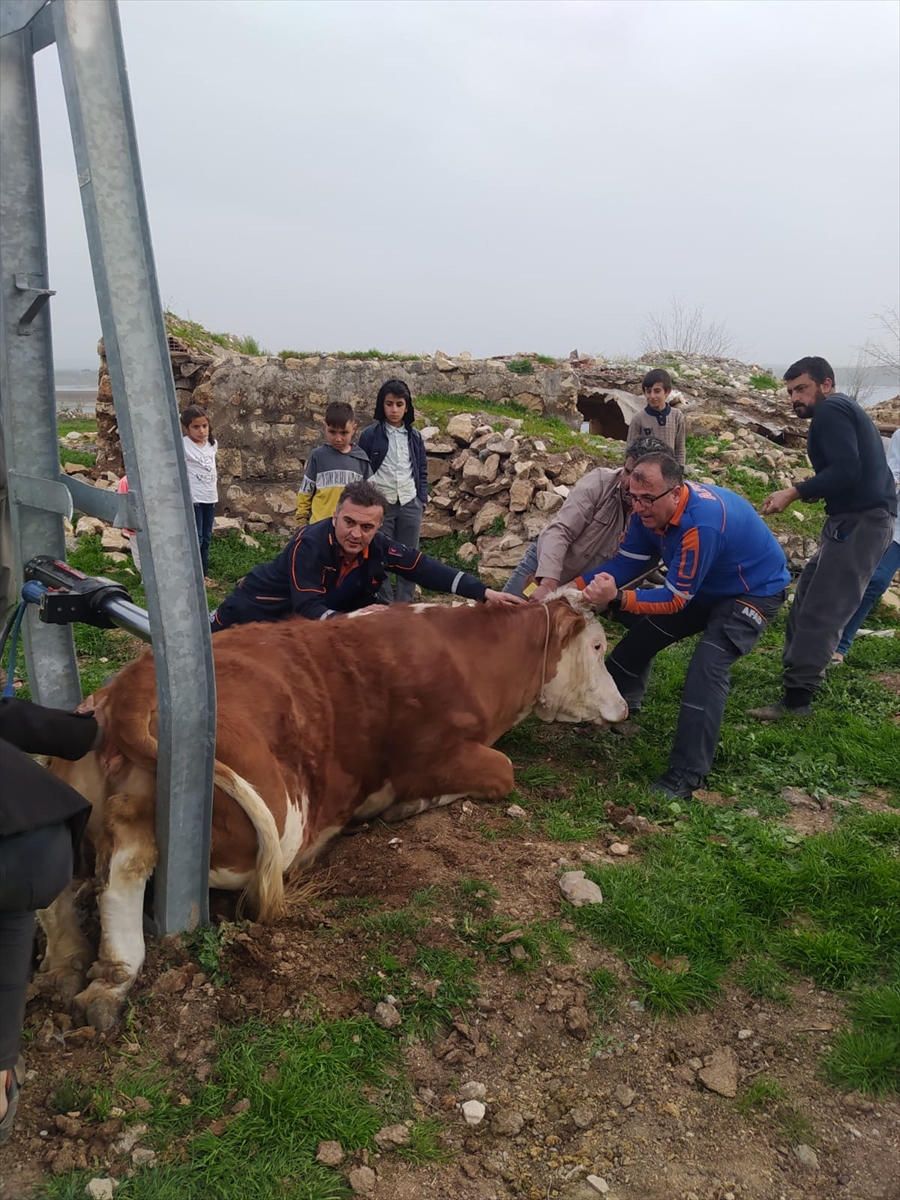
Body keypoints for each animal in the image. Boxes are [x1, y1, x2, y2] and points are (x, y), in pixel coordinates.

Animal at [38, 595, 624, 1027]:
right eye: (598, 645)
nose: (623, 709)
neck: (469, 656)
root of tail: (132, 686)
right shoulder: (437, 756)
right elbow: (502, 771)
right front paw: (407, 806)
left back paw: (84, 970)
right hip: (276, 822)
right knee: (131, 853)